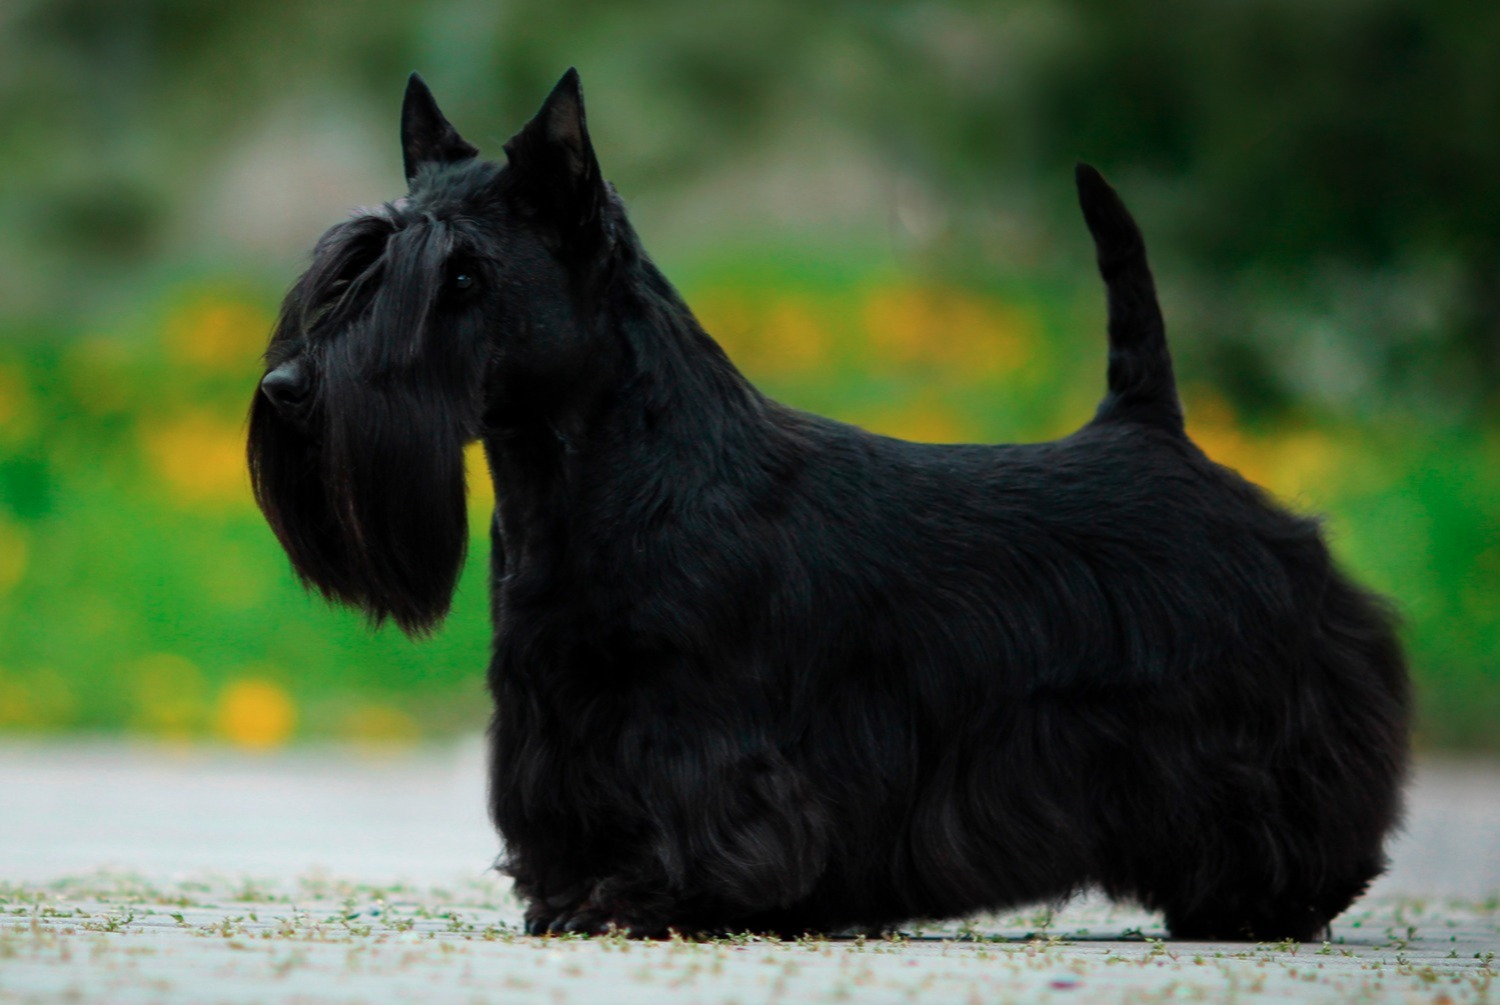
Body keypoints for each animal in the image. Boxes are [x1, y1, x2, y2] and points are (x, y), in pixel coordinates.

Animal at [246, 70, 1404, 948]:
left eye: (463, 276)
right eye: (348, 269)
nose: (289, 391)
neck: (580, 478)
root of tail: (1151, 429)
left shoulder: (705, 722)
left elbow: (706, 817)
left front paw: (651, 897)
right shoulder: (557, 712)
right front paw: (574, 893)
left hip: (1252, 697)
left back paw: (1264, 896)